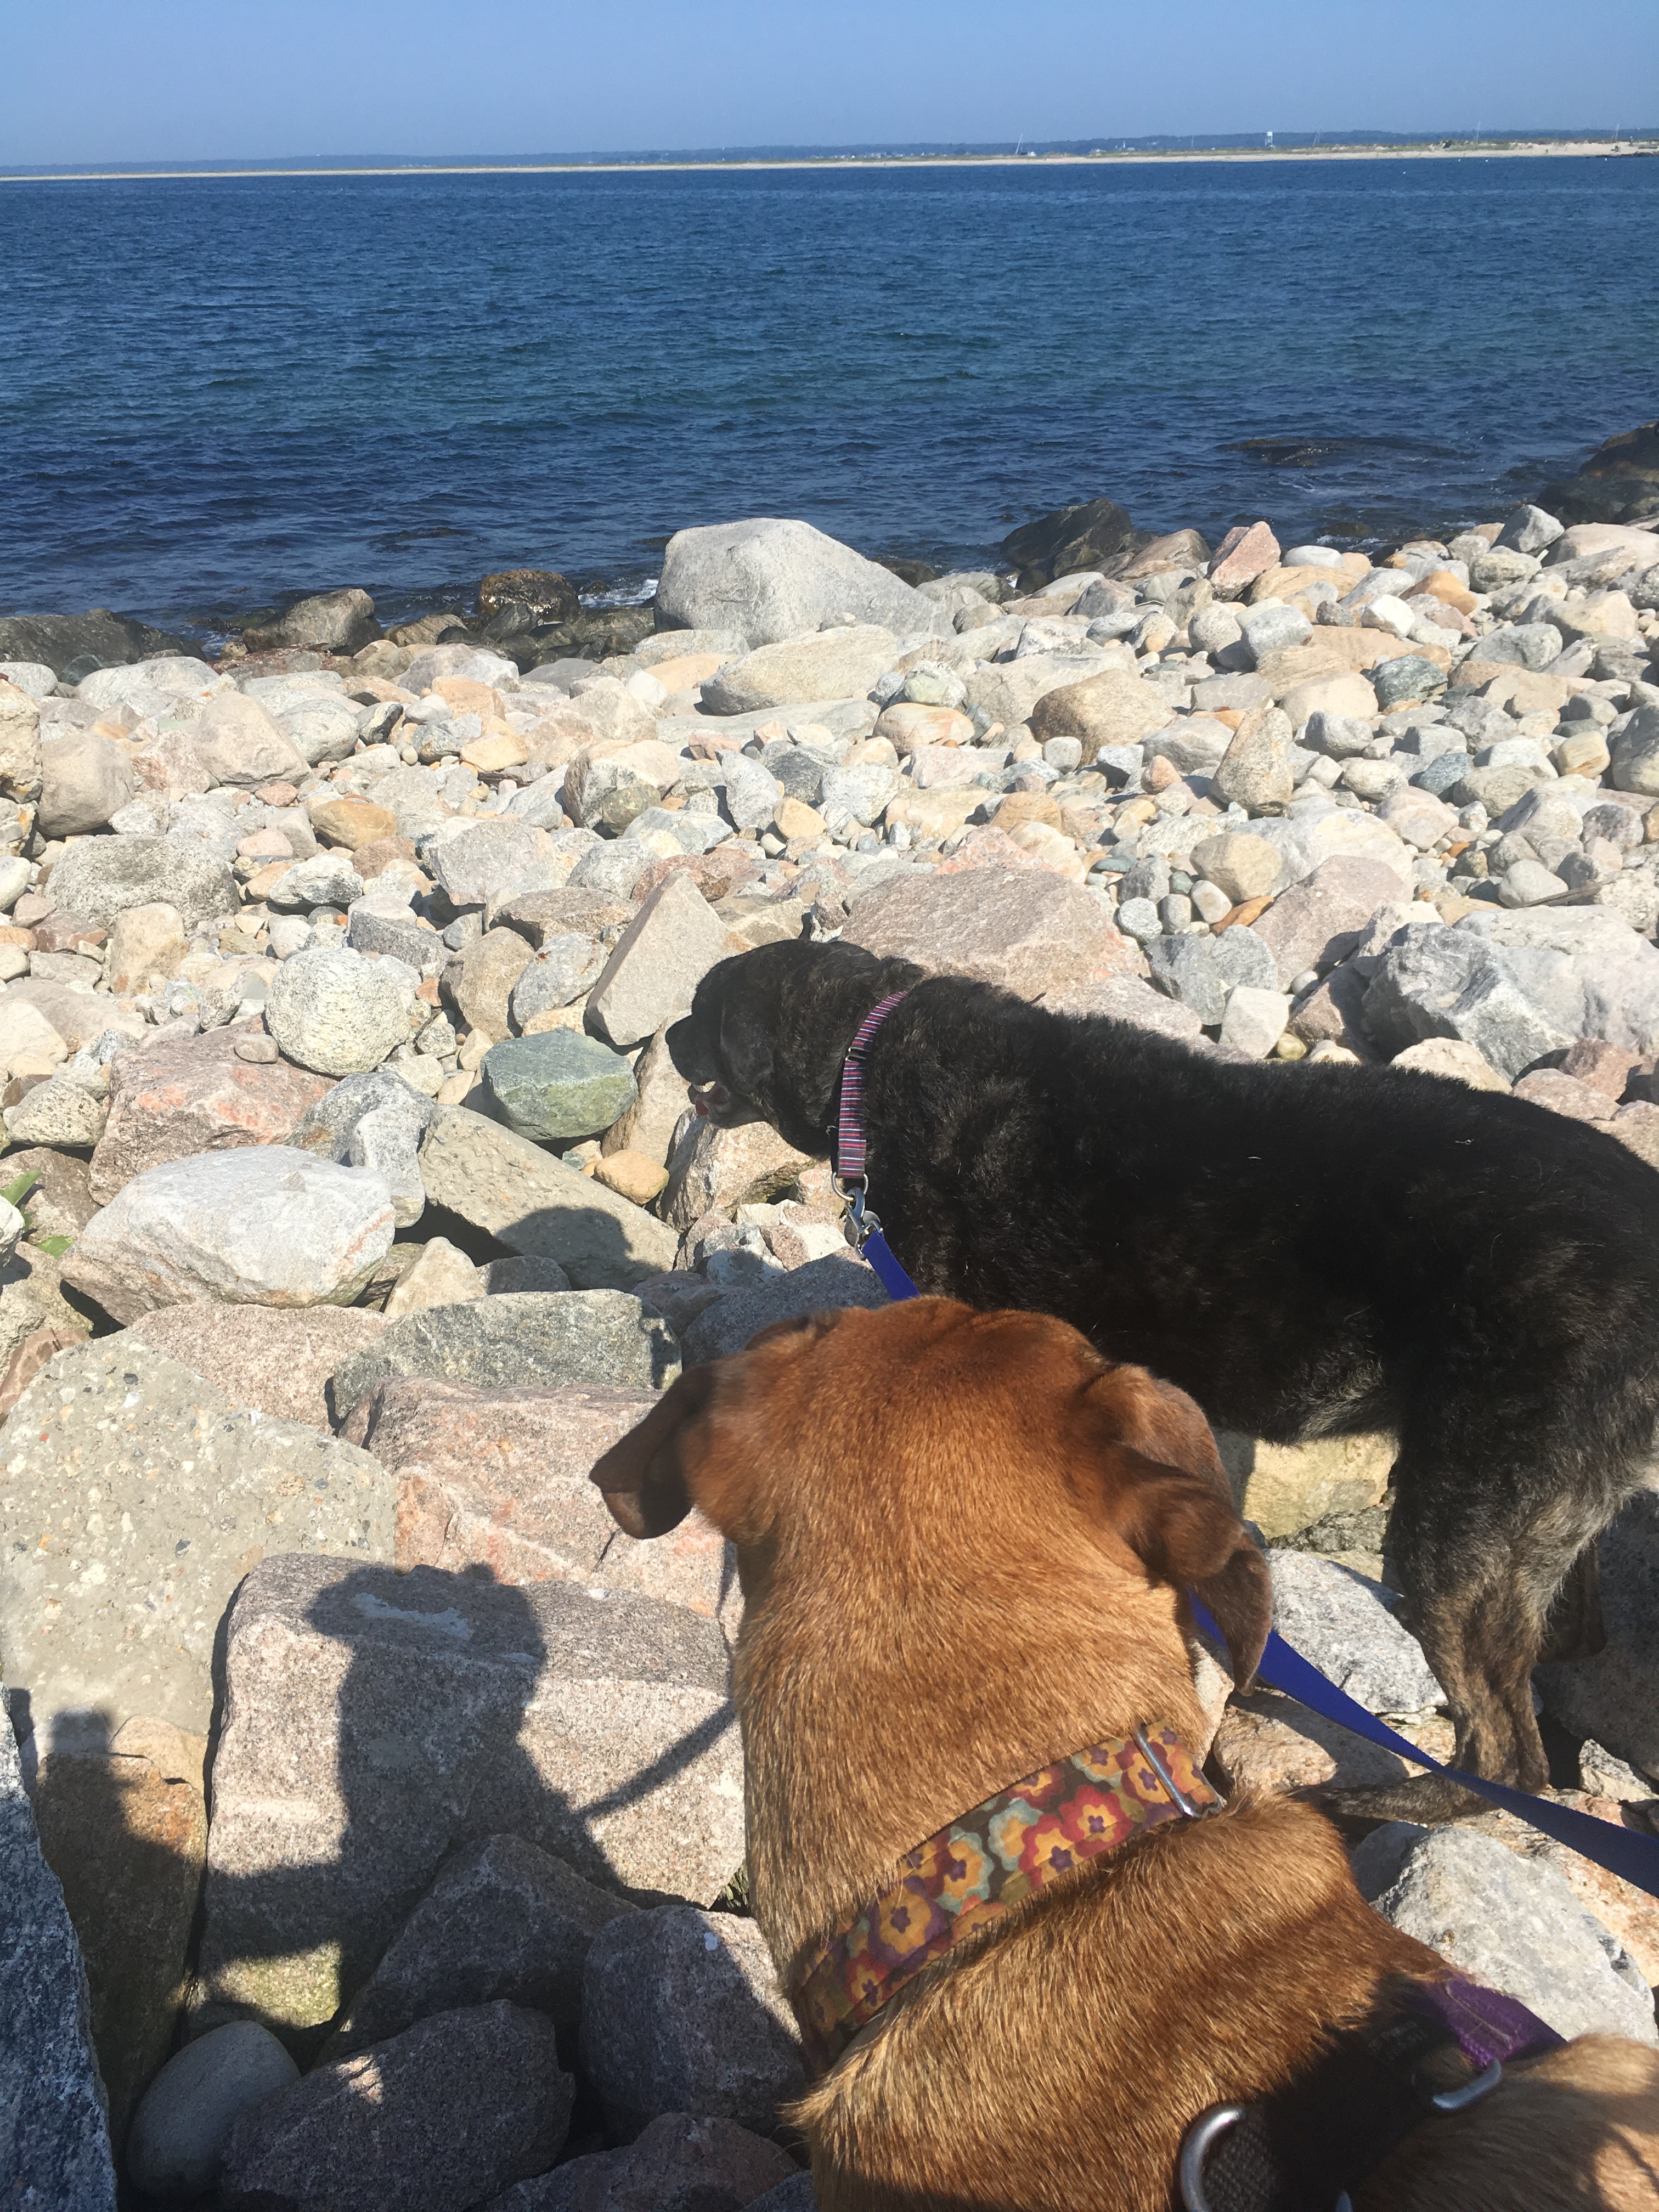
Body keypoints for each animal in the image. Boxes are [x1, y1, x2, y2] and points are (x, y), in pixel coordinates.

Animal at [663, 938, 1659, 1802]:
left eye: (705, 1011)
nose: (667, 1034)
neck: (868, 1055)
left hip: (1461, 1521)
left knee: (1505, 1754)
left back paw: (1393, 1804)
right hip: (1540, 1510)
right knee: (1566, 1639)